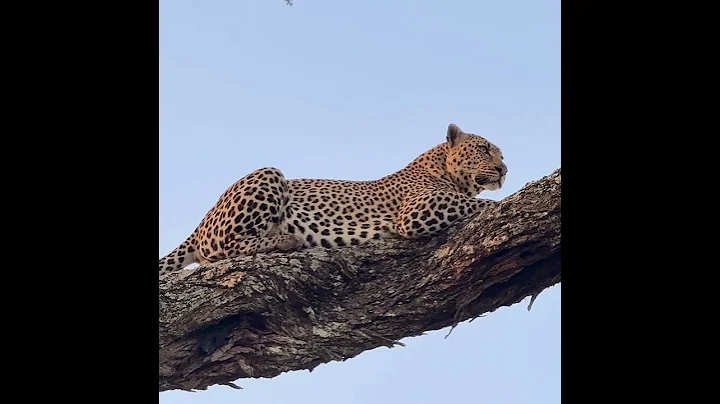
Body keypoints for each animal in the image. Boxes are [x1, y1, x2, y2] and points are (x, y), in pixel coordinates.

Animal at [159, 123, 508, 275]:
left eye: (501, 155)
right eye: (483, 149)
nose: (504, 169)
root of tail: (202, 222)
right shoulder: (416, 210)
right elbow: (476, 204)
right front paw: (499, 204)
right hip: (268, 174)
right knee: (227, 247)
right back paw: (285, 240)